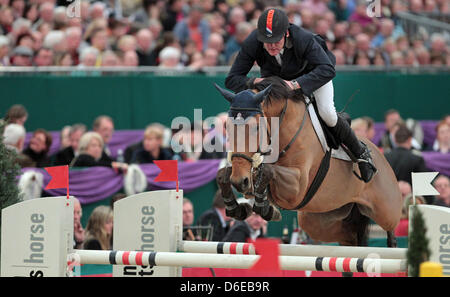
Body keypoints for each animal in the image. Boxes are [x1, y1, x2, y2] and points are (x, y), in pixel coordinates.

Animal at [216, 77, 402, 247]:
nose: (239, 181)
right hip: (321, 218)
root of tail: (382, 157)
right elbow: (224, 174)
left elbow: (268, 171)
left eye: (255, 128)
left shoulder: (297, 188)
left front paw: (264, 207)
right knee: (348, 238)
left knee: (391, 228)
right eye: (227, 127)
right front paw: (237, 208)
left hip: (386, 210)